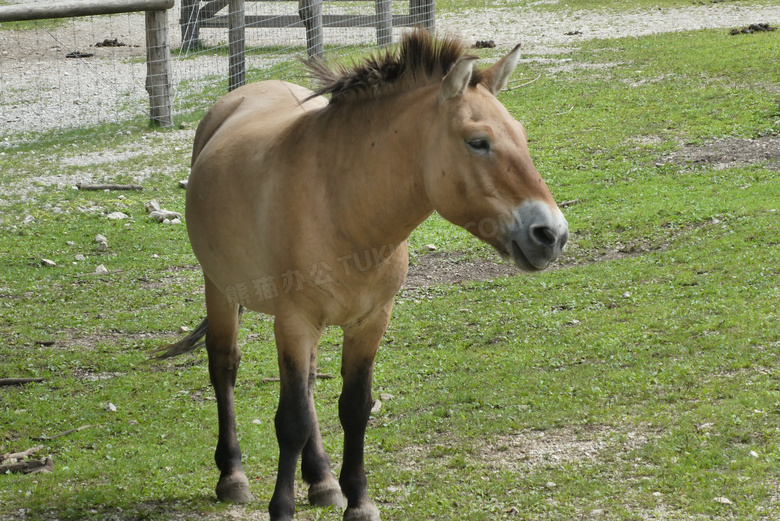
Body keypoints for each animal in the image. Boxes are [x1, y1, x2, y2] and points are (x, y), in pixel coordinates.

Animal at [158, 29, 568, 520]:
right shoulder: (295, 322)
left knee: (307, 385)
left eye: (520, 135)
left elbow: (353, 408)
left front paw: (357, 501)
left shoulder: (370, 321)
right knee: (225, 367)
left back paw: (321, 480)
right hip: (219, 289)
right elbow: (291, 419)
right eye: (477, 142)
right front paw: (282, 507)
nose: (552, 234)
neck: (341, 205)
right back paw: (233, 475)